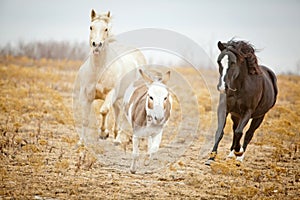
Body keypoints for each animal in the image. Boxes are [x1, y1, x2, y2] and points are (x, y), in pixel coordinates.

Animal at [78, 9, 146, 145]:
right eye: (91, 27)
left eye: (106, 29)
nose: (96, 45)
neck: (98, 69)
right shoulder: (86, 95)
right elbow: (85, 119)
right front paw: (81, 142)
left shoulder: (111, 93)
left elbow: (104, 110)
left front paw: (103, 133)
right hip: (118, 99)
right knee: (118, 113)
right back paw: (116, 136)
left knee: (125, 115)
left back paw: (120, 139)